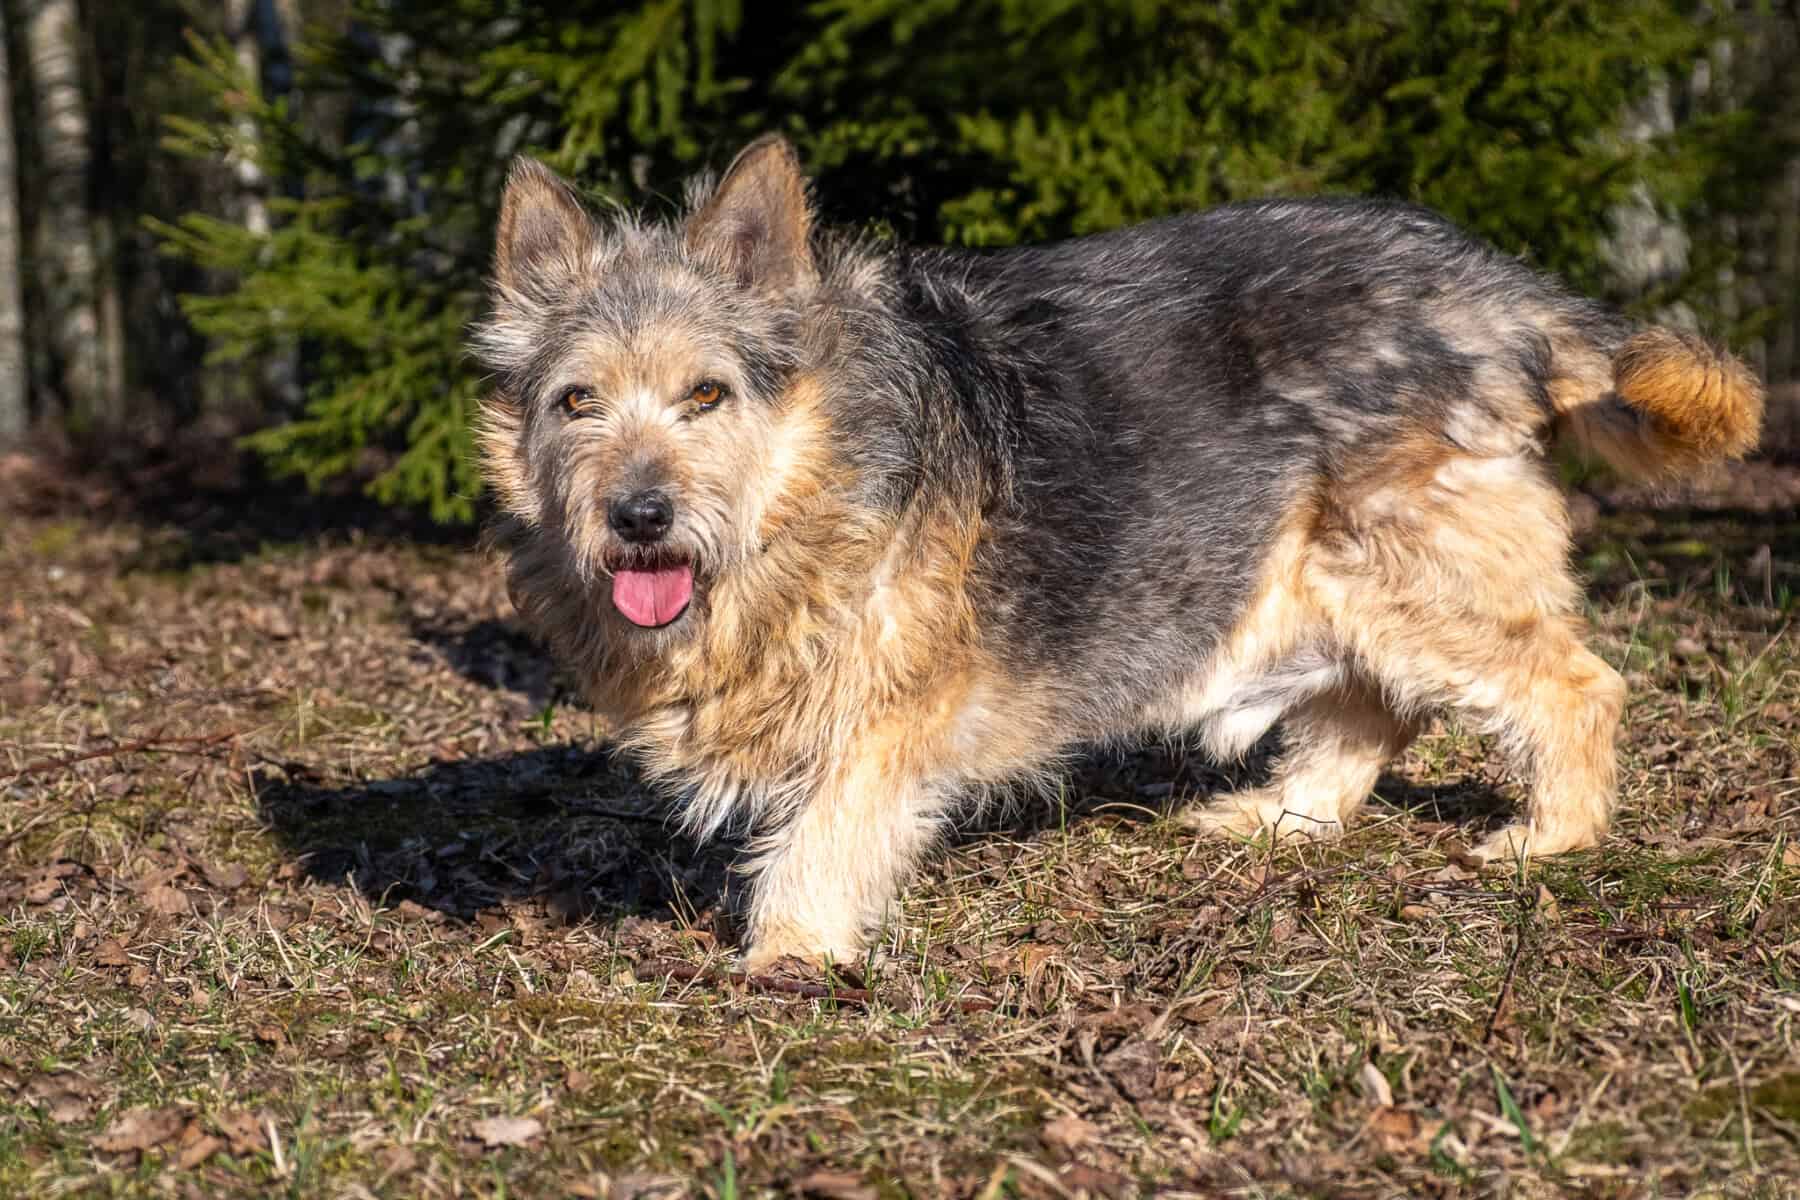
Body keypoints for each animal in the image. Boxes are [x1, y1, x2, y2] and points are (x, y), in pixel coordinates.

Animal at [473, 135, 1763, 969]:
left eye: (708, 394)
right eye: (578, 401)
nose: (638, 516)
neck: (805, 490)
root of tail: (1497, 285)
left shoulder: (891, 707)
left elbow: (830, 828)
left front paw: (789, 954)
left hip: (1410, 566)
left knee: (1576, 681)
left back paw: (1555, 835)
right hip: (1322, 569)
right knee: (1369, 705)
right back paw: (1286, 814)